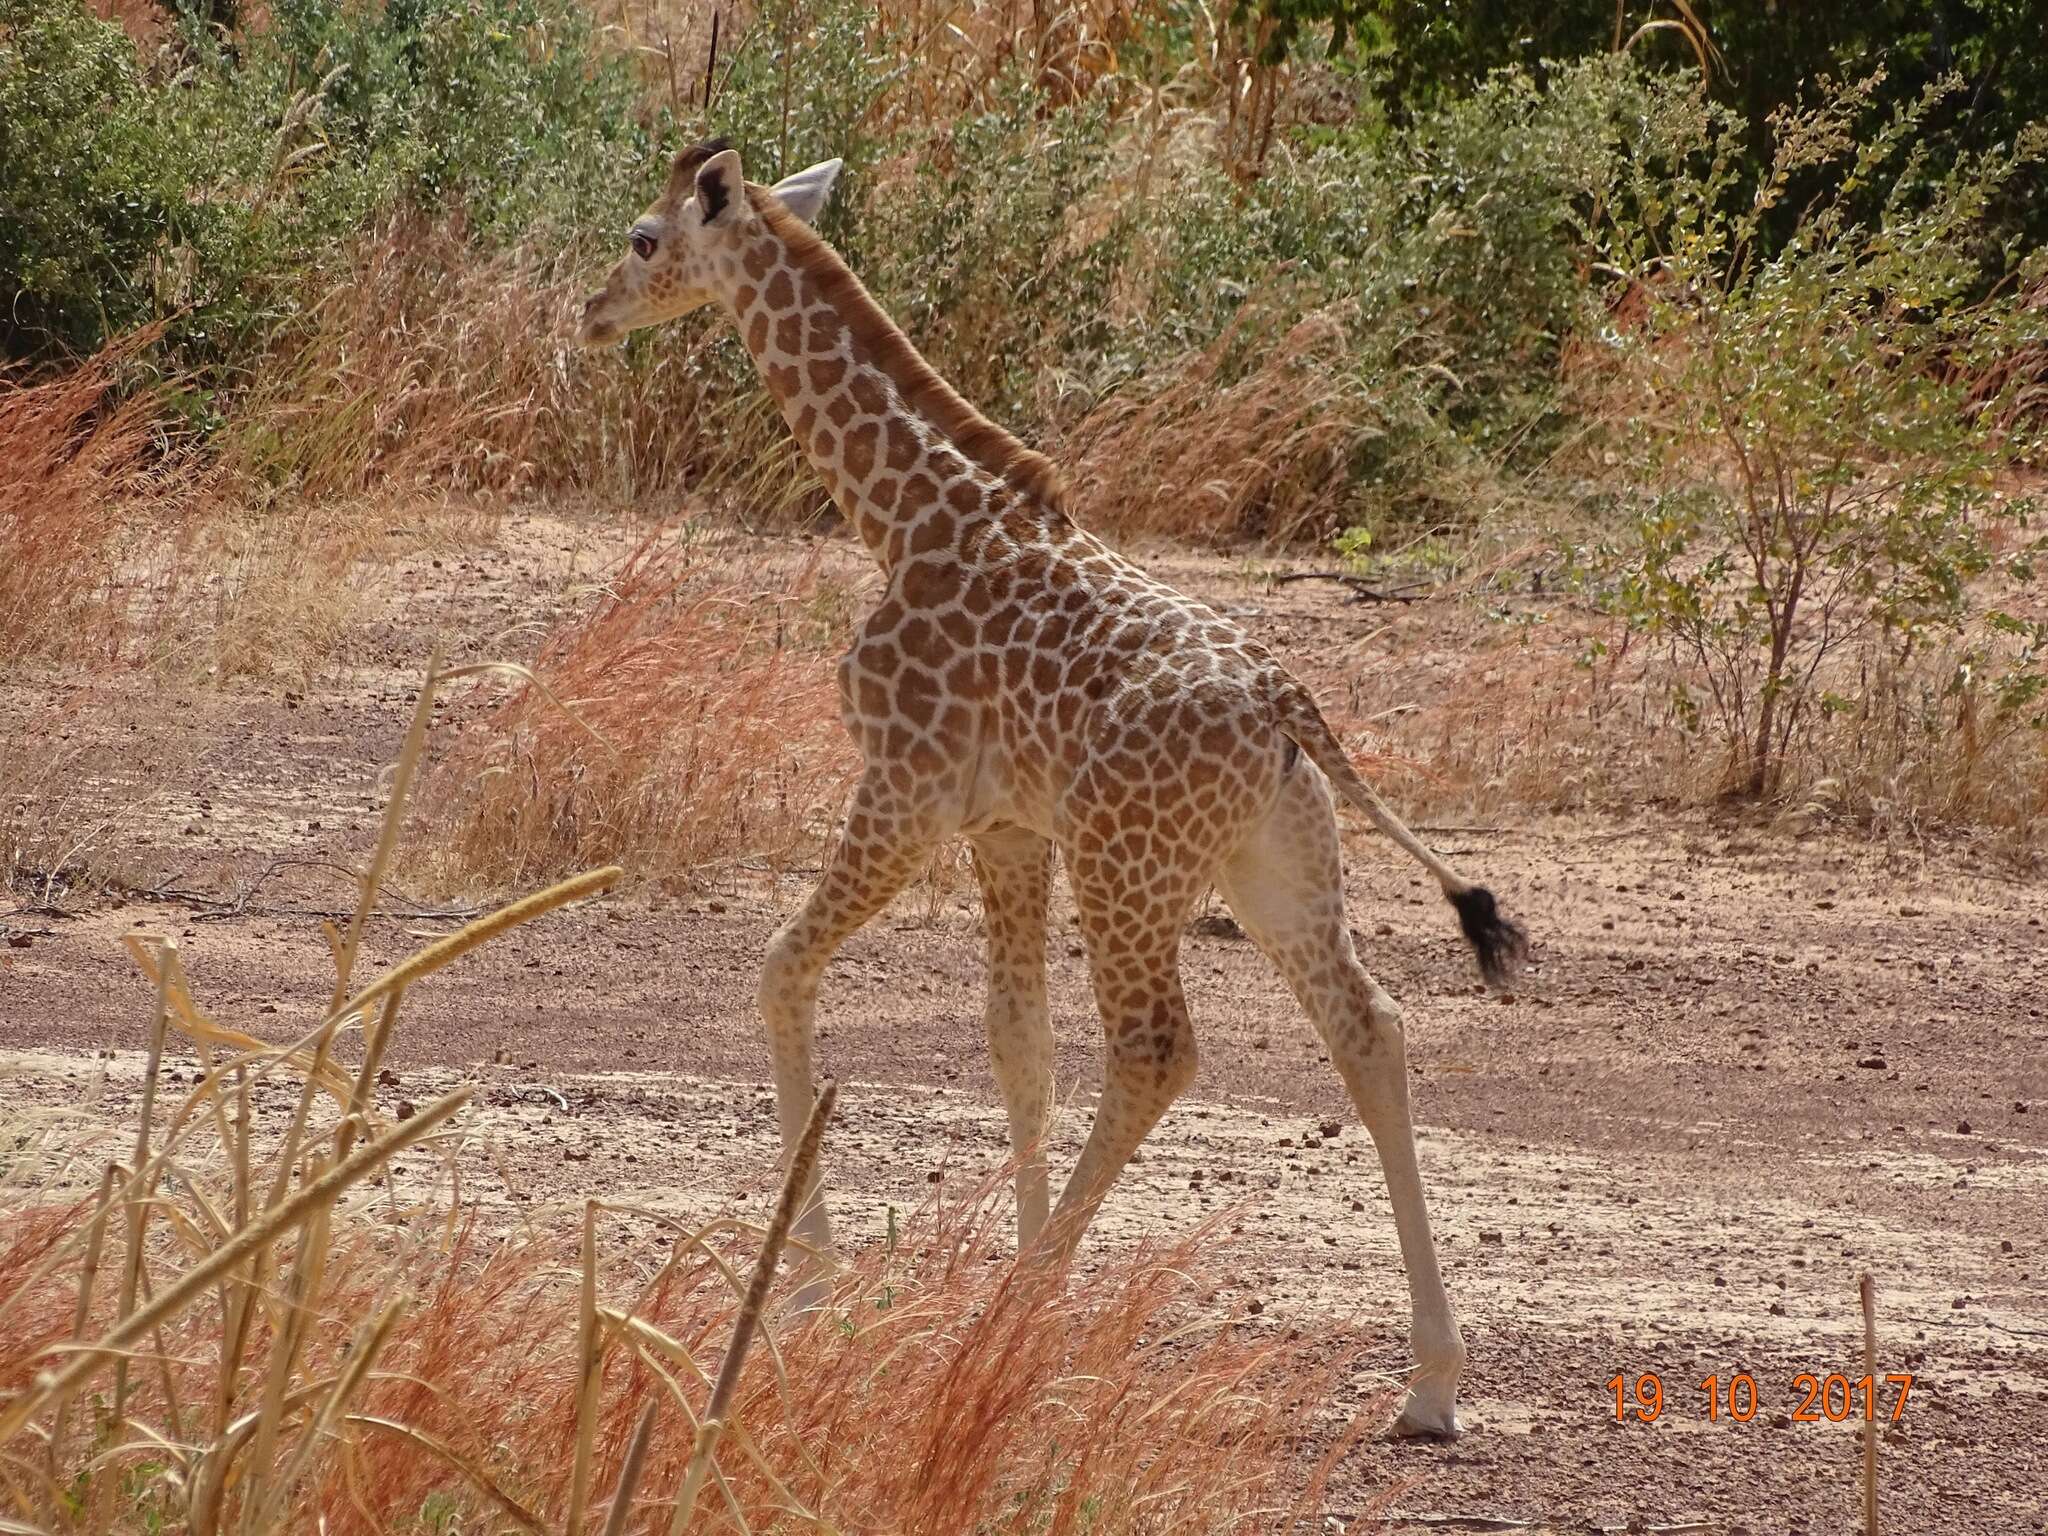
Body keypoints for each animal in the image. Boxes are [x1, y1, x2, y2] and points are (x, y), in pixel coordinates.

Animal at [573, 138, 1523, 1441]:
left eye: (644, 239)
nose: (590, 311)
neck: (903, 516)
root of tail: (1287, 708)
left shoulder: (905, 785)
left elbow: (778, 969)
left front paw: (813, 1290)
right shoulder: (1007, 829)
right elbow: (1015, 1042)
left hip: (1128, 866)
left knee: (1157, 1049)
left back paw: (1025, 1301)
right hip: (1274, 867)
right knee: (1367, 1032)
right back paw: (1427, 1385)